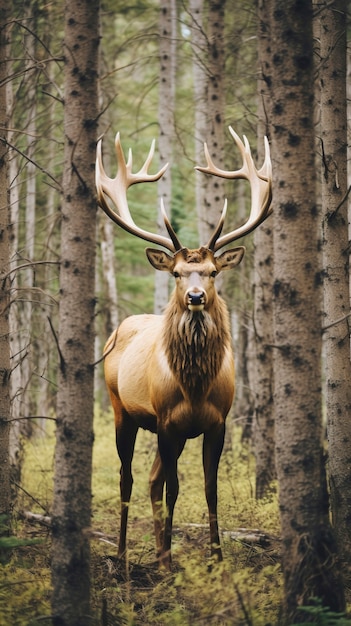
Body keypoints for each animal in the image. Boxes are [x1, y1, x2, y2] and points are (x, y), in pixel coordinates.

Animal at [97, 125, 276, 564]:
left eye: (212, 271)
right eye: (177, 273)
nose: (195, 296)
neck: (194, 388)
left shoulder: (219, 423)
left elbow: (210, 490)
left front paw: (216, 559)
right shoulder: (166, 421)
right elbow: (176, 488)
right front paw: (170, 561)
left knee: (150, 479)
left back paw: (158, 550)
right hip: (121, 409)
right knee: (128, 478)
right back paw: (125, 554)